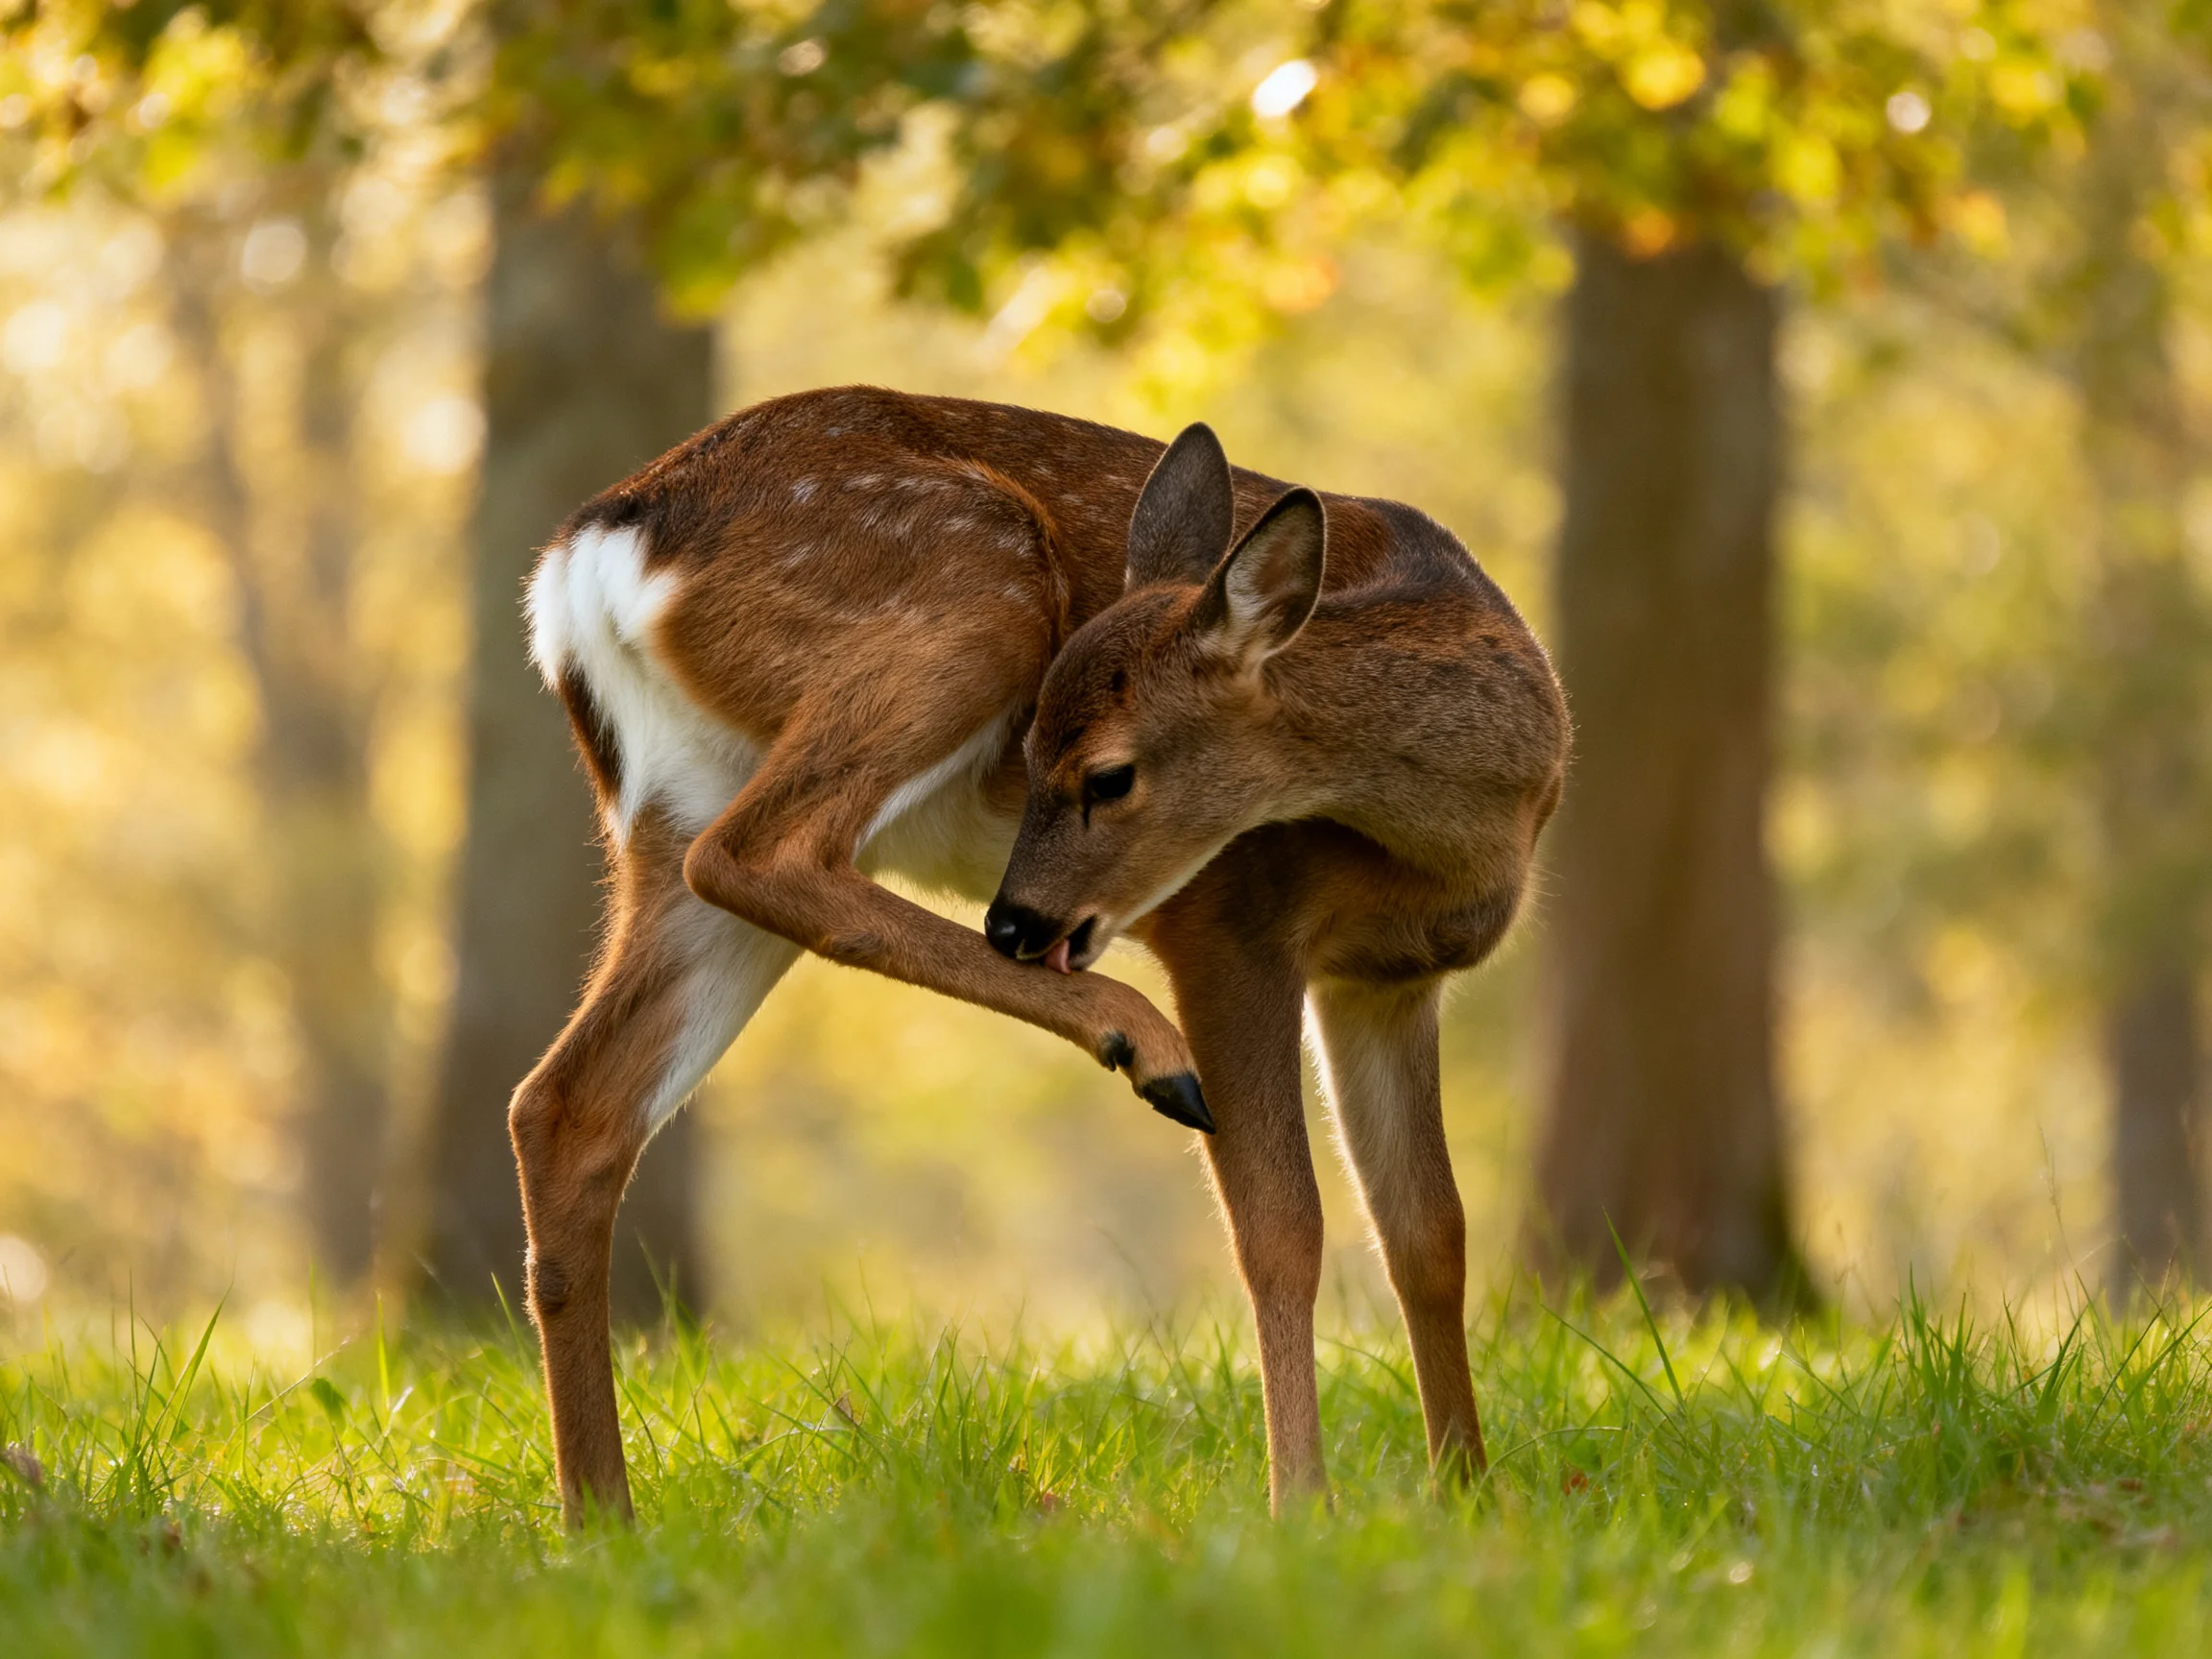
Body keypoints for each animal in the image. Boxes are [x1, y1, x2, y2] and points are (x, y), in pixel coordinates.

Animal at [513, 385, 1568, 1524]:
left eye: (1107, 776)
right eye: (1023, 758)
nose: (1015, 925)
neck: (1465, 833)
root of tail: (584, 557)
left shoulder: (1388, 982)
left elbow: (1429, 1235)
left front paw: (1471, 1497)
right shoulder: (1233, 924)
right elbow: (1283, 1228)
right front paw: (1302, 1508)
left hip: (676, 795)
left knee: (567, 1105)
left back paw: (602, 1521)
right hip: (978, 593)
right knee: (756, 852)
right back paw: (1141, 1043)